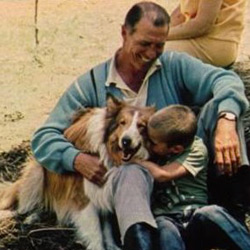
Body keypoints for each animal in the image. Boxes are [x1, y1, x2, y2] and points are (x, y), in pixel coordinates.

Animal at [0, 94, 155, 249]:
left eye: (141, 126)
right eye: (122, 123)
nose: (126, 141)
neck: (108, 152)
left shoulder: (103, 192)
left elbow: (106, 228)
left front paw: (112, 245)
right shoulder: (83, 195)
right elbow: (96, 233)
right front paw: (98, 246)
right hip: (37, 173)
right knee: (23, 206)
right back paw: (27, 217)